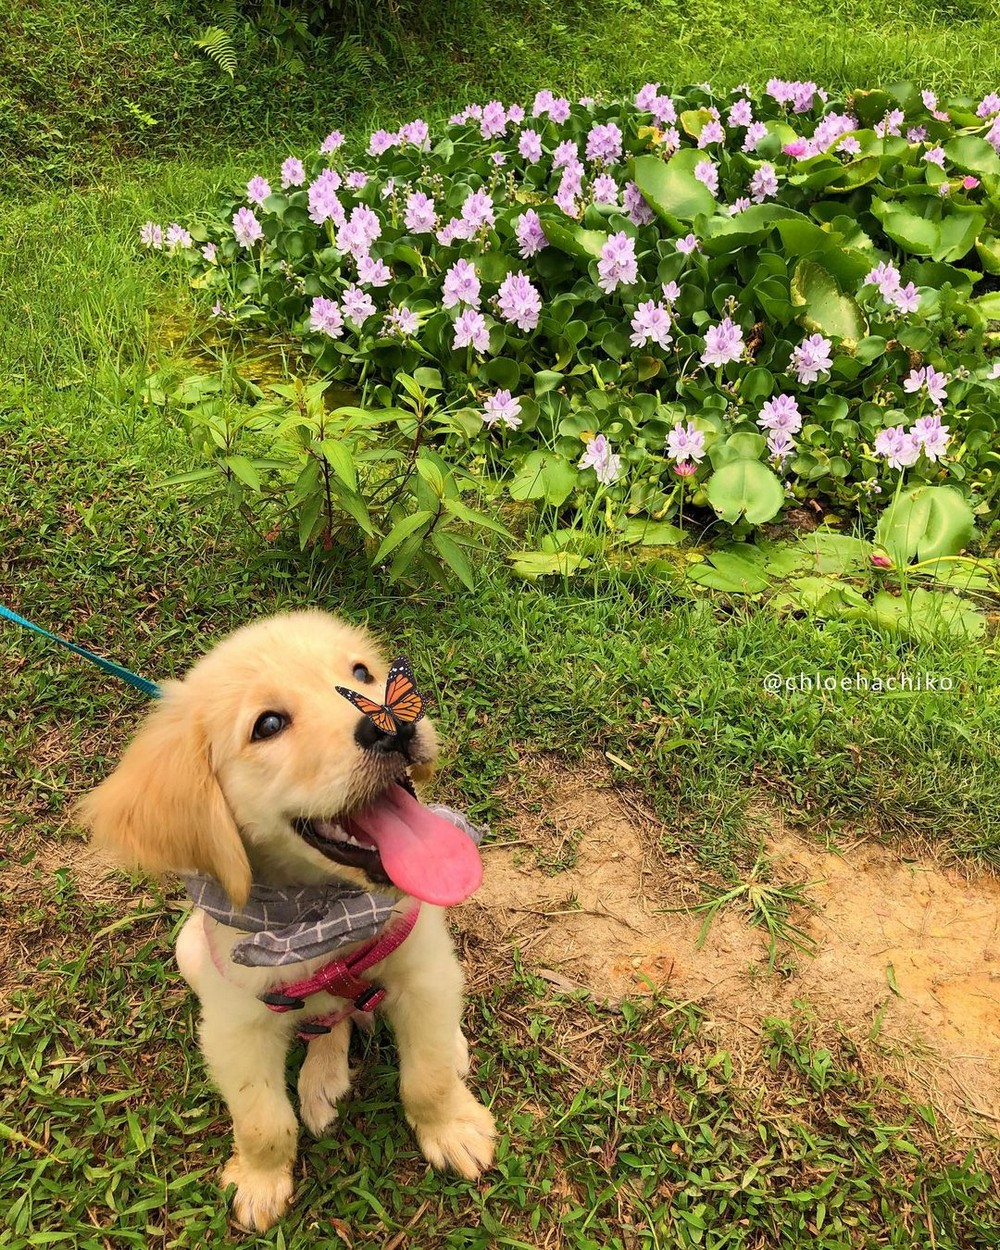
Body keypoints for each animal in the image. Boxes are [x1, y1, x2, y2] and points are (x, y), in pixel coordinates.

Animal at [79, 610, 495, 1235]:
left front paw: (452, 1129)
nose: (394, 726)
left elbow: (428, 1076)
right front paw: (259, 1181)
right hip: (189, 951)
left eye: (362, 673)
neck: (321, 918)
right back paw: (322, 1077)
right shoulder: (234, 1028)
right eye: (268, 724)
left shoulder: (422, 970)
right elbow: (261, 1120)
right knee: (326, 1023)